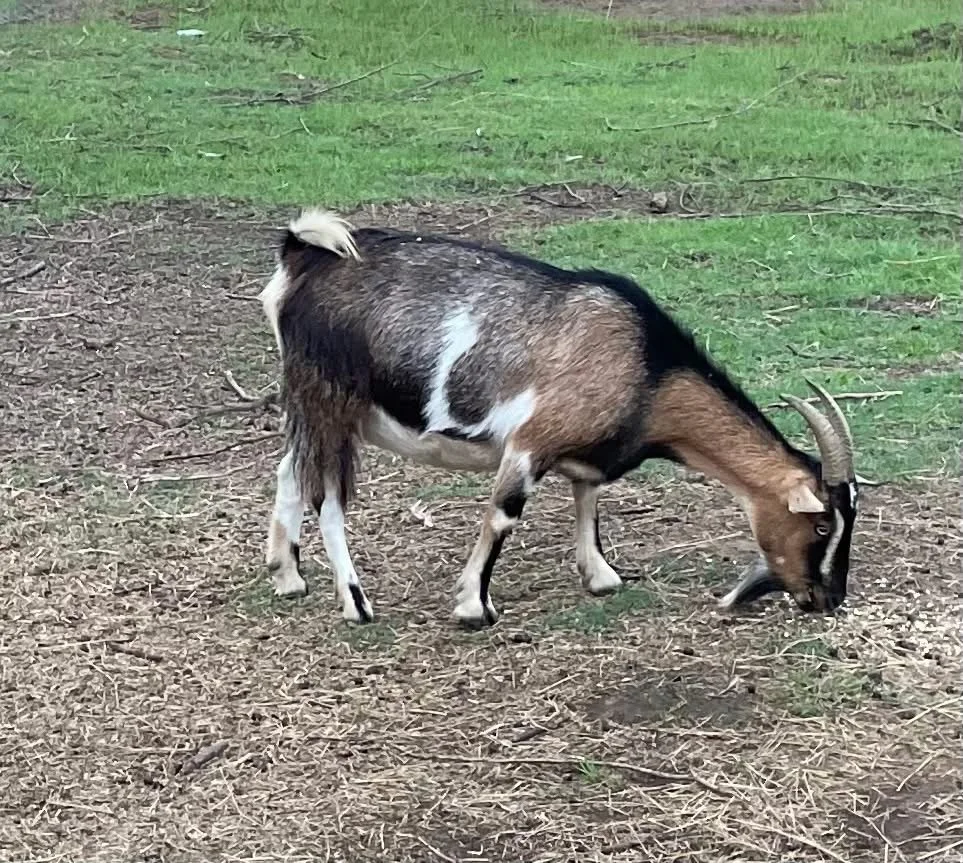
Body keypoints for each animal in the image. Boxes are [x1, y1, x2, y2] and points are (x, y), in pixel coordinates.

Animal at [259, 208, 861, 627]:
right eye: (822, 524)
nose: (828, 598)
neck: (647, 367)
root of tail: (303, 255)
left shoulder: (584, 455)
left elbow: (589, 503)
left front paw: (601, 576)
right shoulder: (530, 442)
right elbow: (503, 516)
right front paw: (474, 606)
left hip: (319, 408)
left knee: (291, 469)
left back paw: (287, 576)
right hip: (330, 398)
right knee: (328, 496)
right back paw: (355, 603)